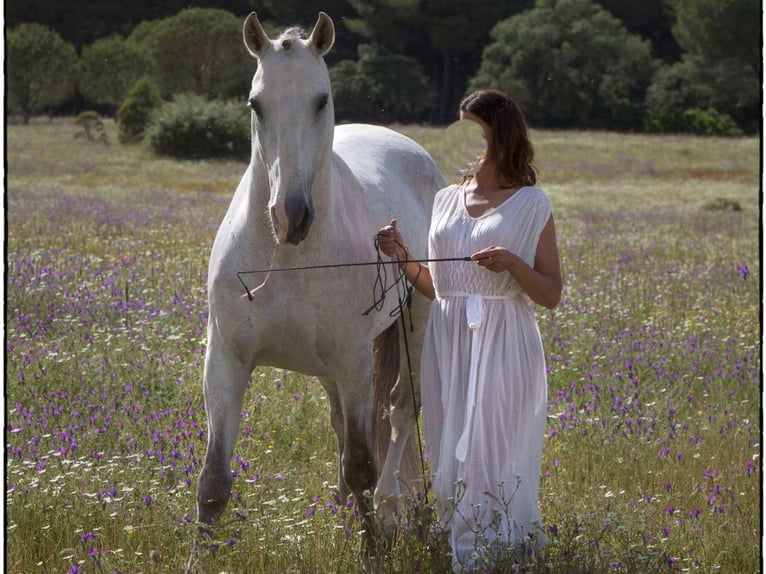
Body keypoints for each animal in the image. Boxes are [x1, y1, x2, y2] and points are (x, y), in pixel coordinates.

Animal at [194, 10, 444, 564]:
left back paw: (390, 507)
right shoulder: (227, 361)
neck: (289, 259)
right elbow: (214, 482)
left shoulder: (354, 362)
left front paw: (373, 549)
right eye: (255, 103)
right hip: (330, 372)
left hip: (413, 328)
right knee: (341, 426)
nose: (291, 216)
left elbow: (362, 462)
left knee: (398, 412)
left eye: (321, 99)